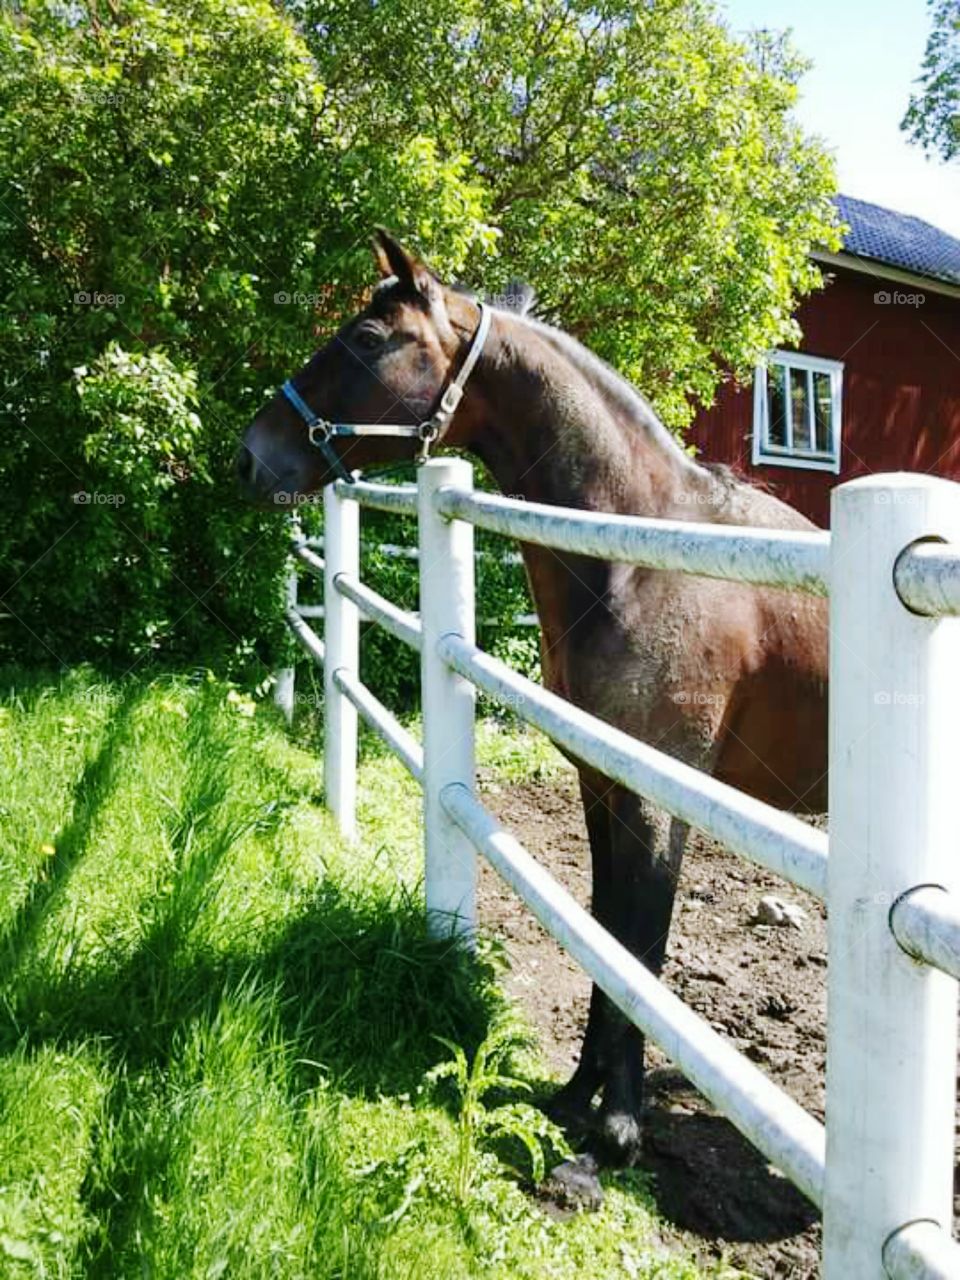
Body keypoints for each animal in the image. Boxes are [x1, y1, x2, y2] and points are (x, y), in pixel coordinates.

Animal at [238, 231, 829, 1166]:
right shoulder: (603, 782)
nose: (249, 455)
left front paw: (617, 1131)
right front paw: (578, 1096)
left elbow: (642, 945)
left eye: (366, 339)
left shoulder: (662, 800)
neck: (643, 556)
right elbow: (603, 931)